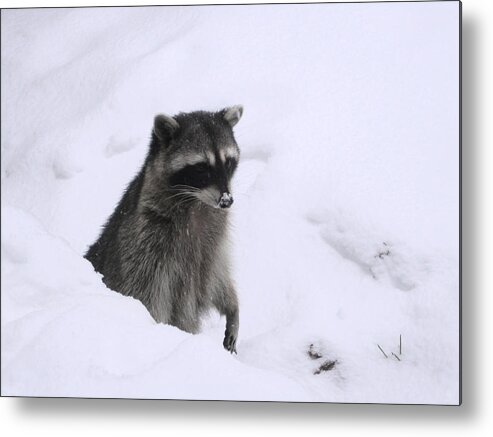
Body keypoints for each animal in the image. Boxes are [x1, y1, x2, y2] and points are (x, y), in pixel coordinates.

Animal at [87, 106, 245, 354]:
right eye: (201, 168)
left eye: (228, 162)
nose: (226, 200)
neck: (195, 203)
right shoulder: (145, 242)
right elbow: (144, 294)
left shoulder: (212, 242)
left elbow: (216, 276)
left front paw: (232, 306)